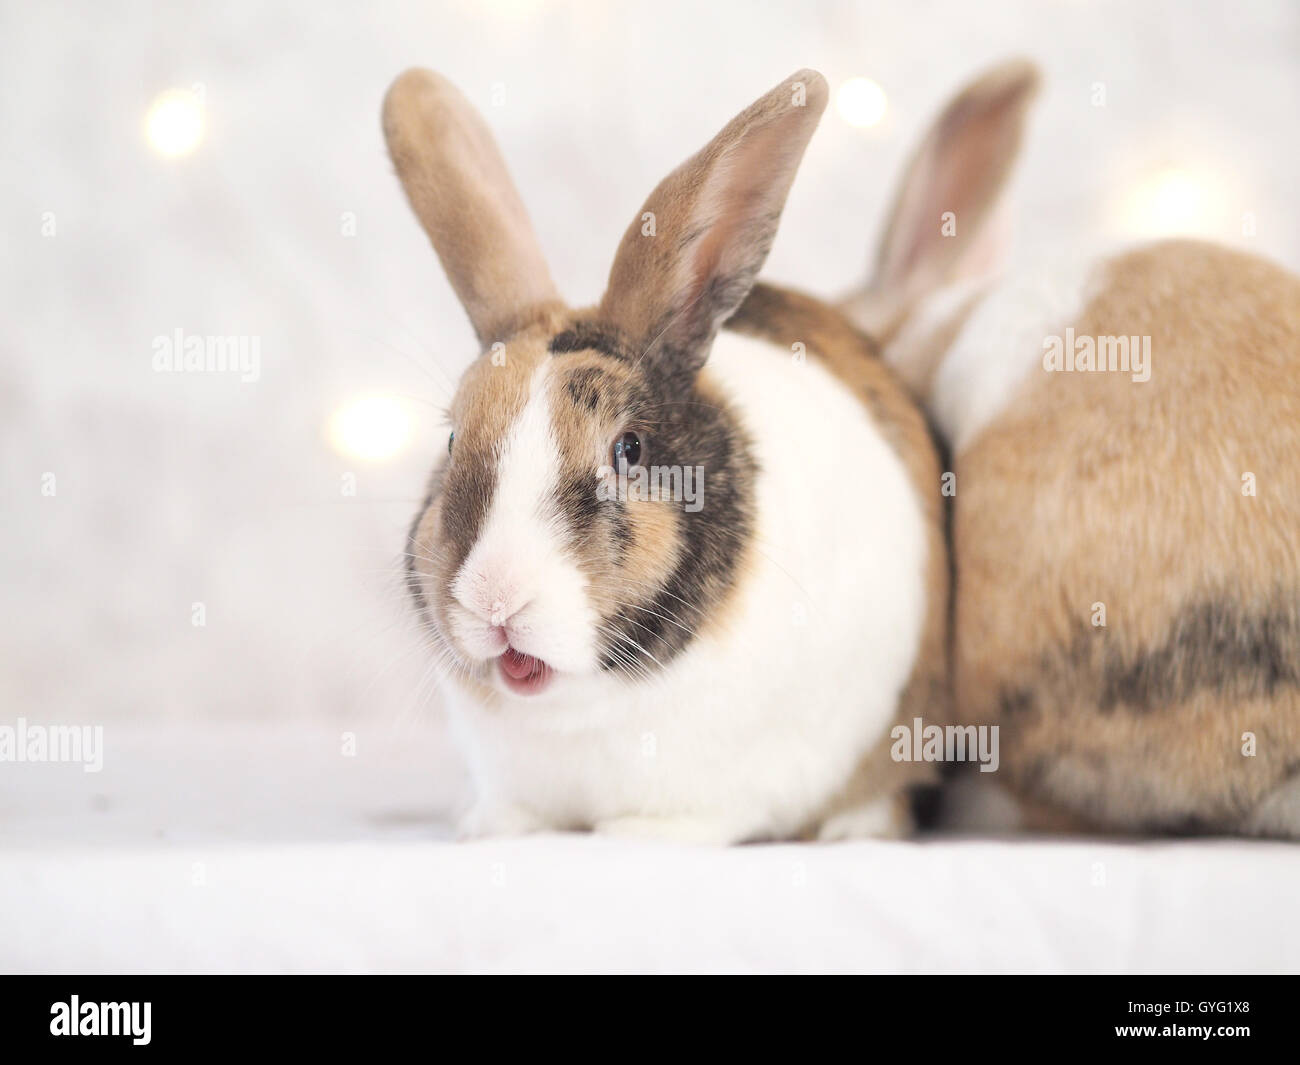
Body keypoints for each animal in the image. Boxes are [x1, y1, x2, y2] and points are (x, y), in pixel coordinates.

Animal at [382, 67, 950, 844]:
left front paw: (637, 835)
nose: (498, 601)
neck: (578, 707)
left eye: (628, 448)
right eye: (450, 438)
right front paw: (491, 826)